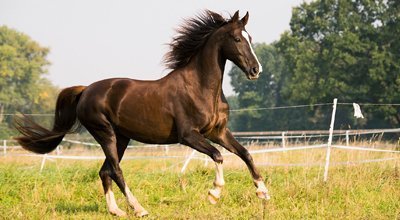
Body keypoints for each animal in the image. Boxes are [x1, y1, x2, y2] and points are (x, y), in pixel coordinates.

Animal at [16, 9, 272, 217]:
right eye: (237, 39)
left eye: (250, 38)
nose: (255, 70)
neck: (200, 87)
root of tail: (85, 90)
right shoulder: (189, 136)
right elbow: (218, 155)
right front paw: (214, 193)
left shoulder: (217, 132)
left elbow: (245, 153)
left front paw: (263, 192)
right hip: (105, 134)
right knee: (116, 171)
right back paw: (139, 208)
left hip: (121, 138)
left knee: (104, 171)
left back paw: (116, 210)